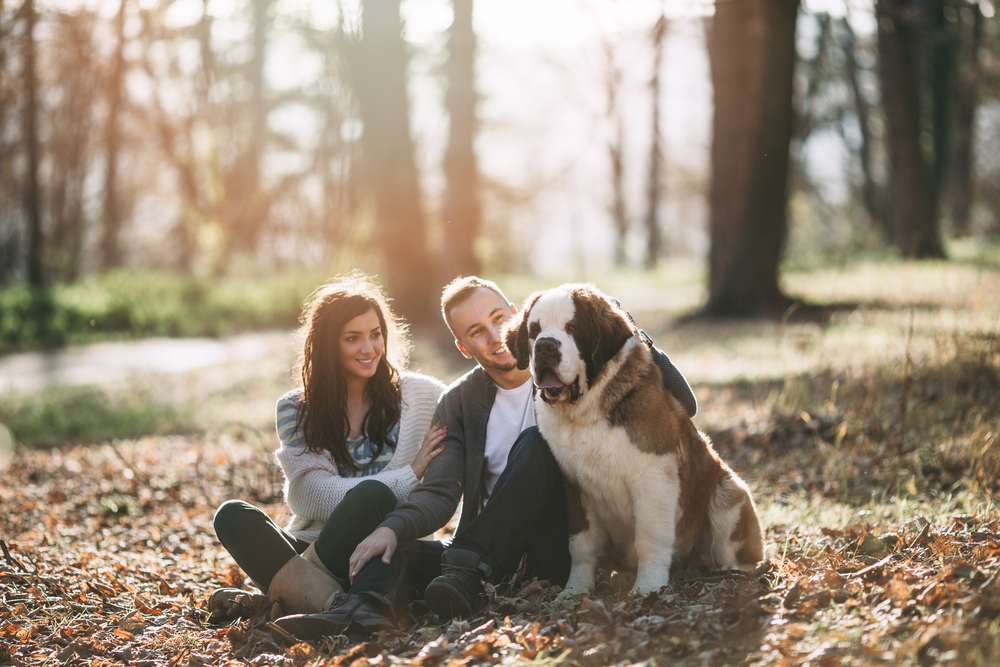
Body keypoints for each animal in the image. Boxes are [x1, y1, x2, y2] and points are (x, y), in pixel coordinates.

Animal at [508, 282, 764, 596]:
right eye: (534, 330)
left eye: (572, 328)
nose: (545, 346)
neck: (584, 413)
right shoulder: (574, 485)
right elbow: (581, 544)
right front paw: (576, 590)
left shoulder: (655, 477)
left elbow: (649, 538)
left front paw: (648, 588)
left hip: (729, 491)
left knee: (735, 549)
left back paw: (729, 575)